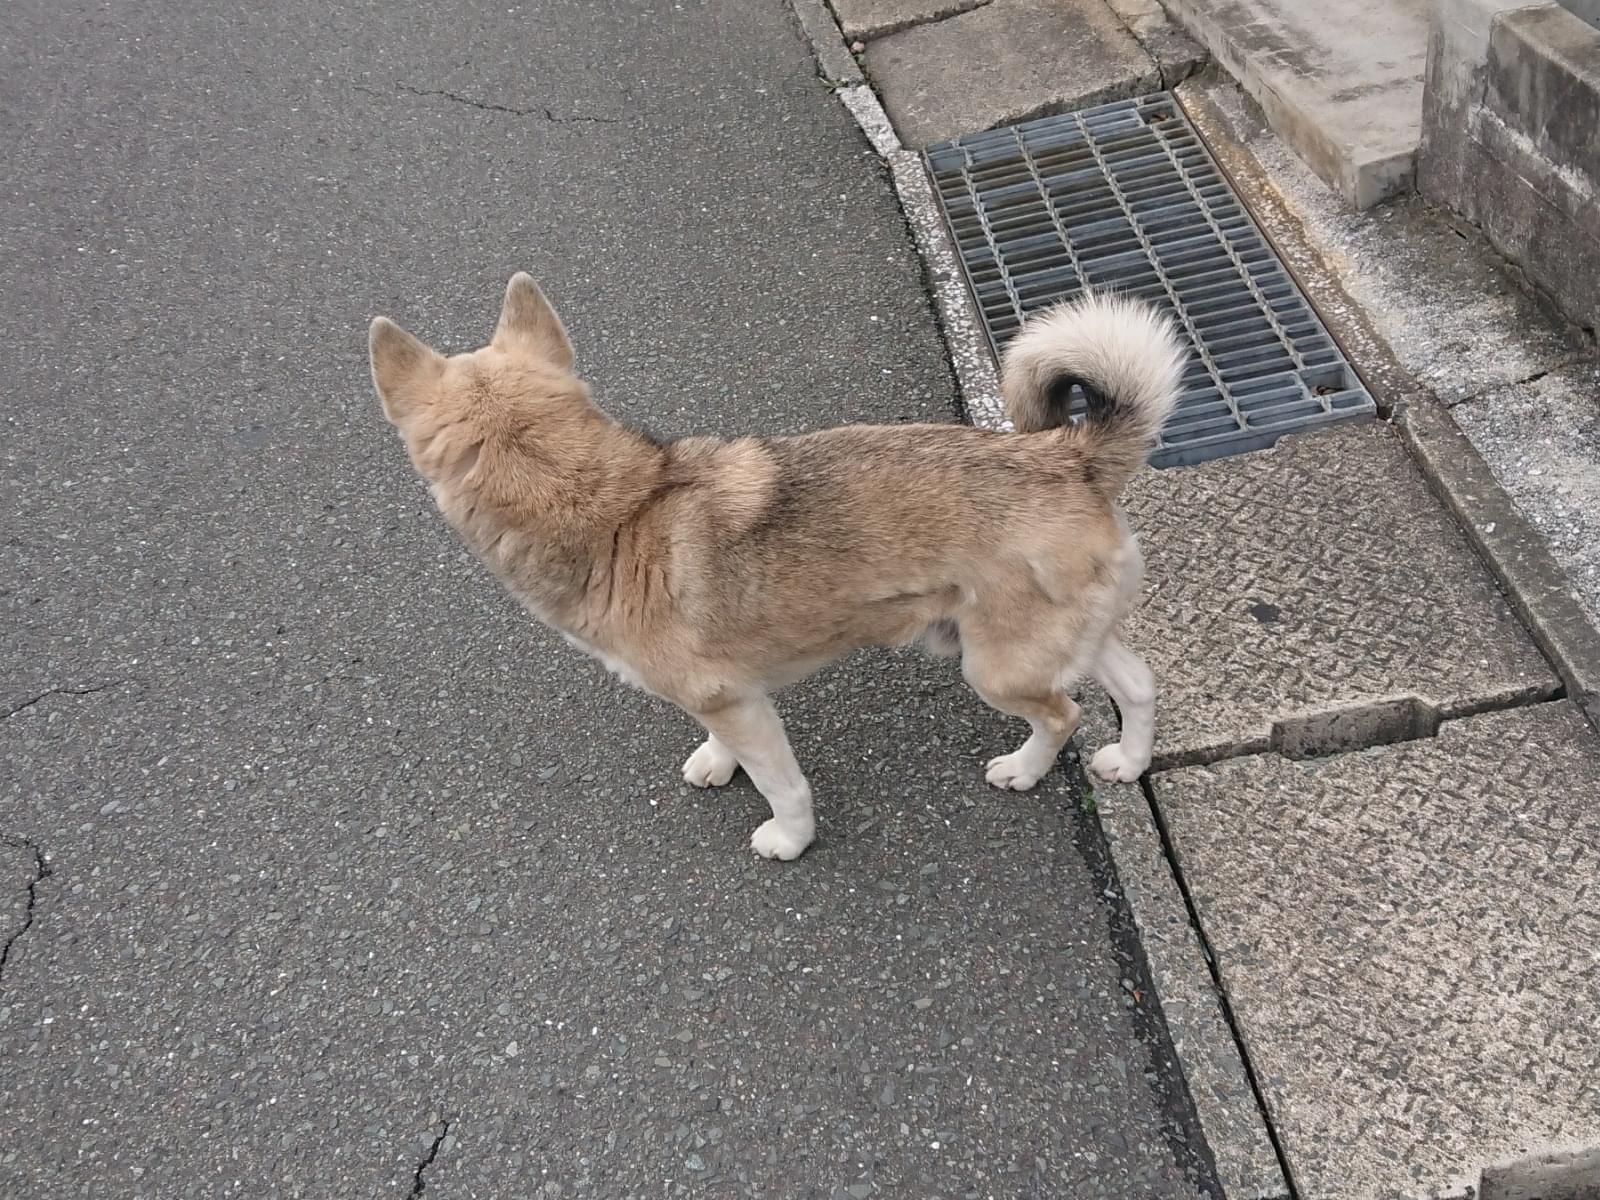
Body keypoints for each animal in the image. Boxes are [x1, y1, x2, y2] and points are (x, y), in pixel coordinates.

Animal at [368, 274, 1185, 860]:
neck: (619, 513)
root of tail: (1065, 455)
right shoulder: (731, 697)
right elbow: (725, 745)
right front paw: (715, 762)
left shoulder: (738, 704)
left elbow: (783, 787)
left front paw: (789, 839)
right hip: (1057, 638)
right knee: (1140, 685)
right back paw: (1128, 761)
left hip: (999, 668)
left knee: (1065, 714)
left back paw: (1024, 768)